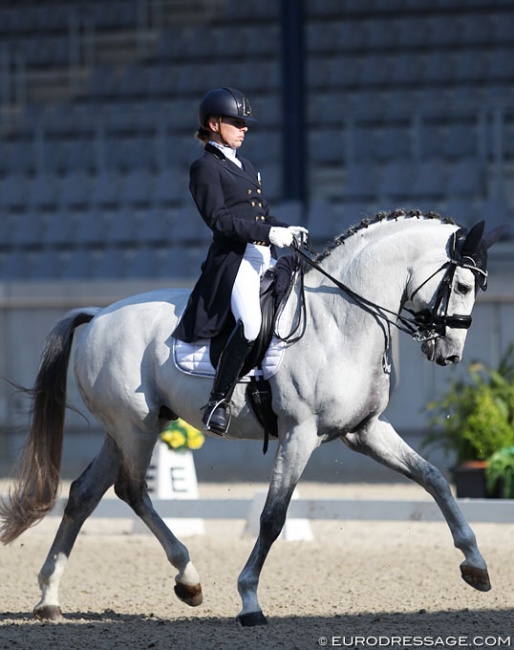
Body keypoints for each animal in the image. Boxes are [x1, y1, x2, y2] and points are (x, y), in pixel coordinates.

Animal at [0, 208, 500, 624]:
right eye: (462, 286)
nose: (450, 354)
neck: (341, 322)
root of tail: (99, 314)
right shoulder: (300, 434)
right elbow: (272, 517)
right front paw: (249, 600)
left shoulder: (365, 431)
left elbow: (433, 478)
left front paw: (475, 565)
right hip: (136, 428)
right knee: (130, 490)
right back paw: (188, 578)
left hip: (126, 429)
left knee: (85, 494)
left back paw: (50, 599)